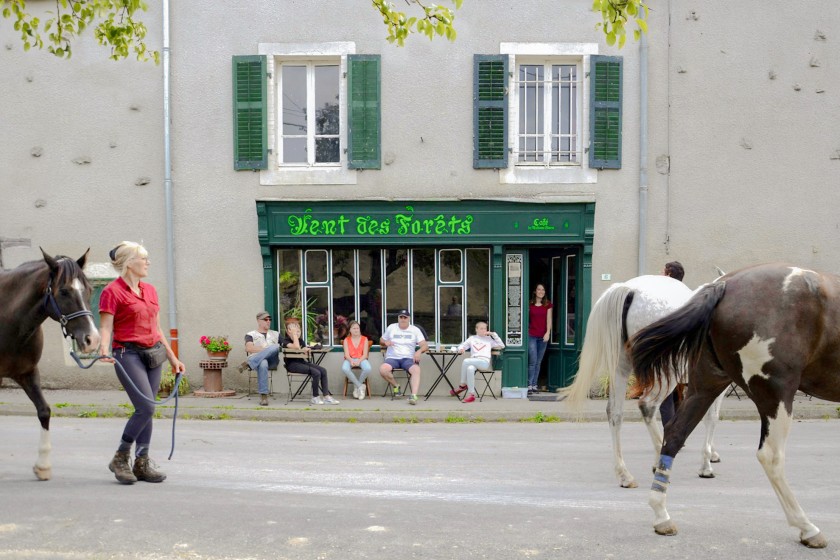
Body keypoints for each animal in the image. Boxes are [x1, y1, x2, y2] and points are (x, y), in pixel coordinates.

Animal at [0, 252, 100, 480]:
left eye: (89, 289)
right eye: (63, 291)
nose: (92, 339)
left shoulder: (27, 373)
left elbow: (44, 411)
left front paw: (43, 466)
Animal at [564, 276, 720, 486]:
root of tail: (630, 290)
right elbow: (711, 417)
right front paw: (706, 465)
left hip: (621, 368)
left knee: (615, 413)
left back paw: (625, 474)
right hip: (666, 372)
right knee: (647, 405)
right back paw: (660, 457)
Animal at [632, 264, 840, 548]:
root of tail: (723, 284)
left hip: (706, 385)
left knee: (675, 433)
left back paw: (661, 513)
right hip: (776, 394)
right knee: (770, 455)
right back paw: (806, 527)